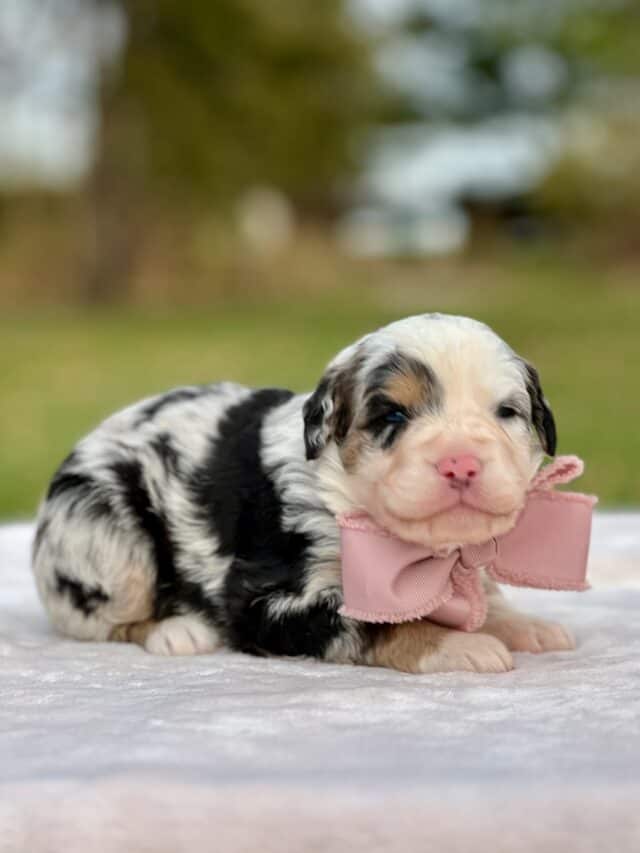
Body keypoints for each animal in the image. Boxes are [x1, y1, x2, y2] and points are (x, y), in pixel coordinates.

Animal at [32, 312, 576, 672]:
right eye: (393, 415)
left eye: (506, 412)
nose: (460, 463)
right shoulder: (266, 601)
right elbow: (379, 622)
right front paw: (461, 646)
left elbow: (484, 596)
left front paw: (523, 625)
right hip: (108, 538)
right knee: (96, 620)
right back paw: (177, 631)